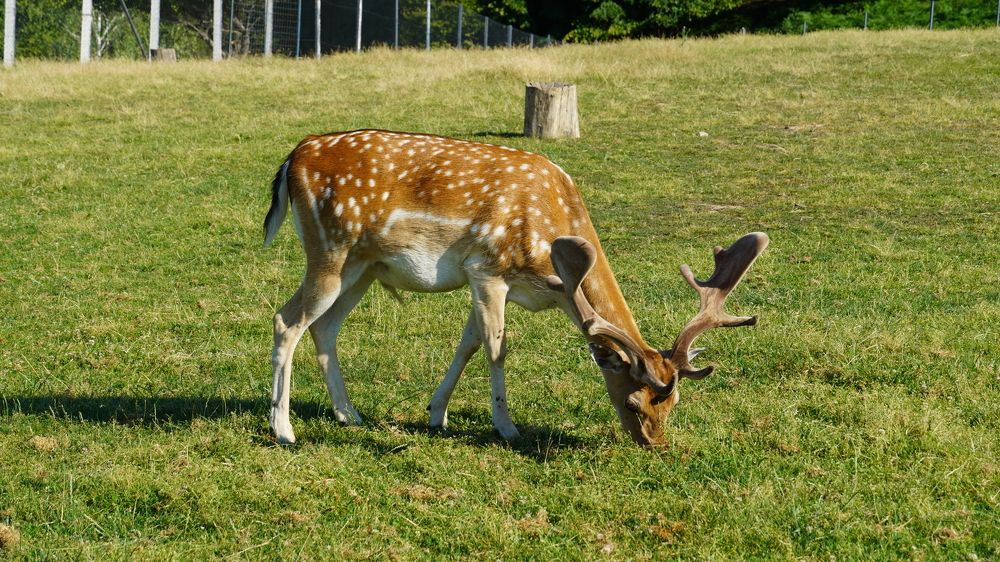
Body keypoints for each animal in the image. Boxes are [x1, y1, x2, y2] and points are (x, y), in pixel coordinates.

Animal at [263, 129, 768, 447]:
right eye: (632, 401)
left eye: (675, 401)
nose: (654, 443)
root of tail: (292, 158)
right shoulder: (487, 269)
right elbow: (495, 347)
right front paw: (506, 427)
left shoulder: (480, 280)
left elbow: (467, 343)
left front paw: (437, 414)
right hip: (330, 250)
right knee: (287, 320)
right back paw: (283, 430)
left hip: (362, 267)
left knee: (324, 327)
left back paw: (348, 414)